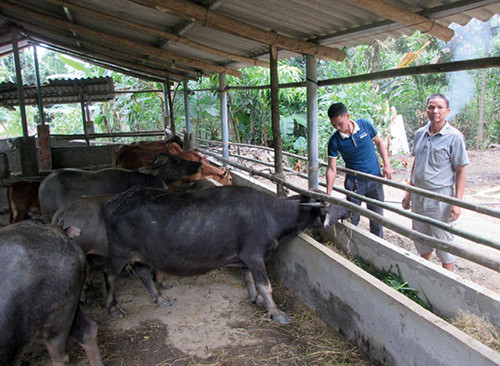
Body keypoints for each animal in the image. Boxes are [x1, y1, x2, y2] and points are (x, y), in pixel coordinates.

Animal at [104, 186, 348, 324]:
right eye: (331, 203)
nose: (348, 209)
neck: (269, 214)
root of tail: (112, 204)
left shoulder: (245, 259)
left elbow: (248, 279)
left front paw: (256, 299)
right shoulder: (255, 255)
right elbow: (265, 285)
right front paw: (276, 312)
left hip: (138, 255)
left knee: (143, 272)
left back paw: (160, 298)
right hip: (117, 254)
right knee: (109, 274)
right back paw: (113, 307)